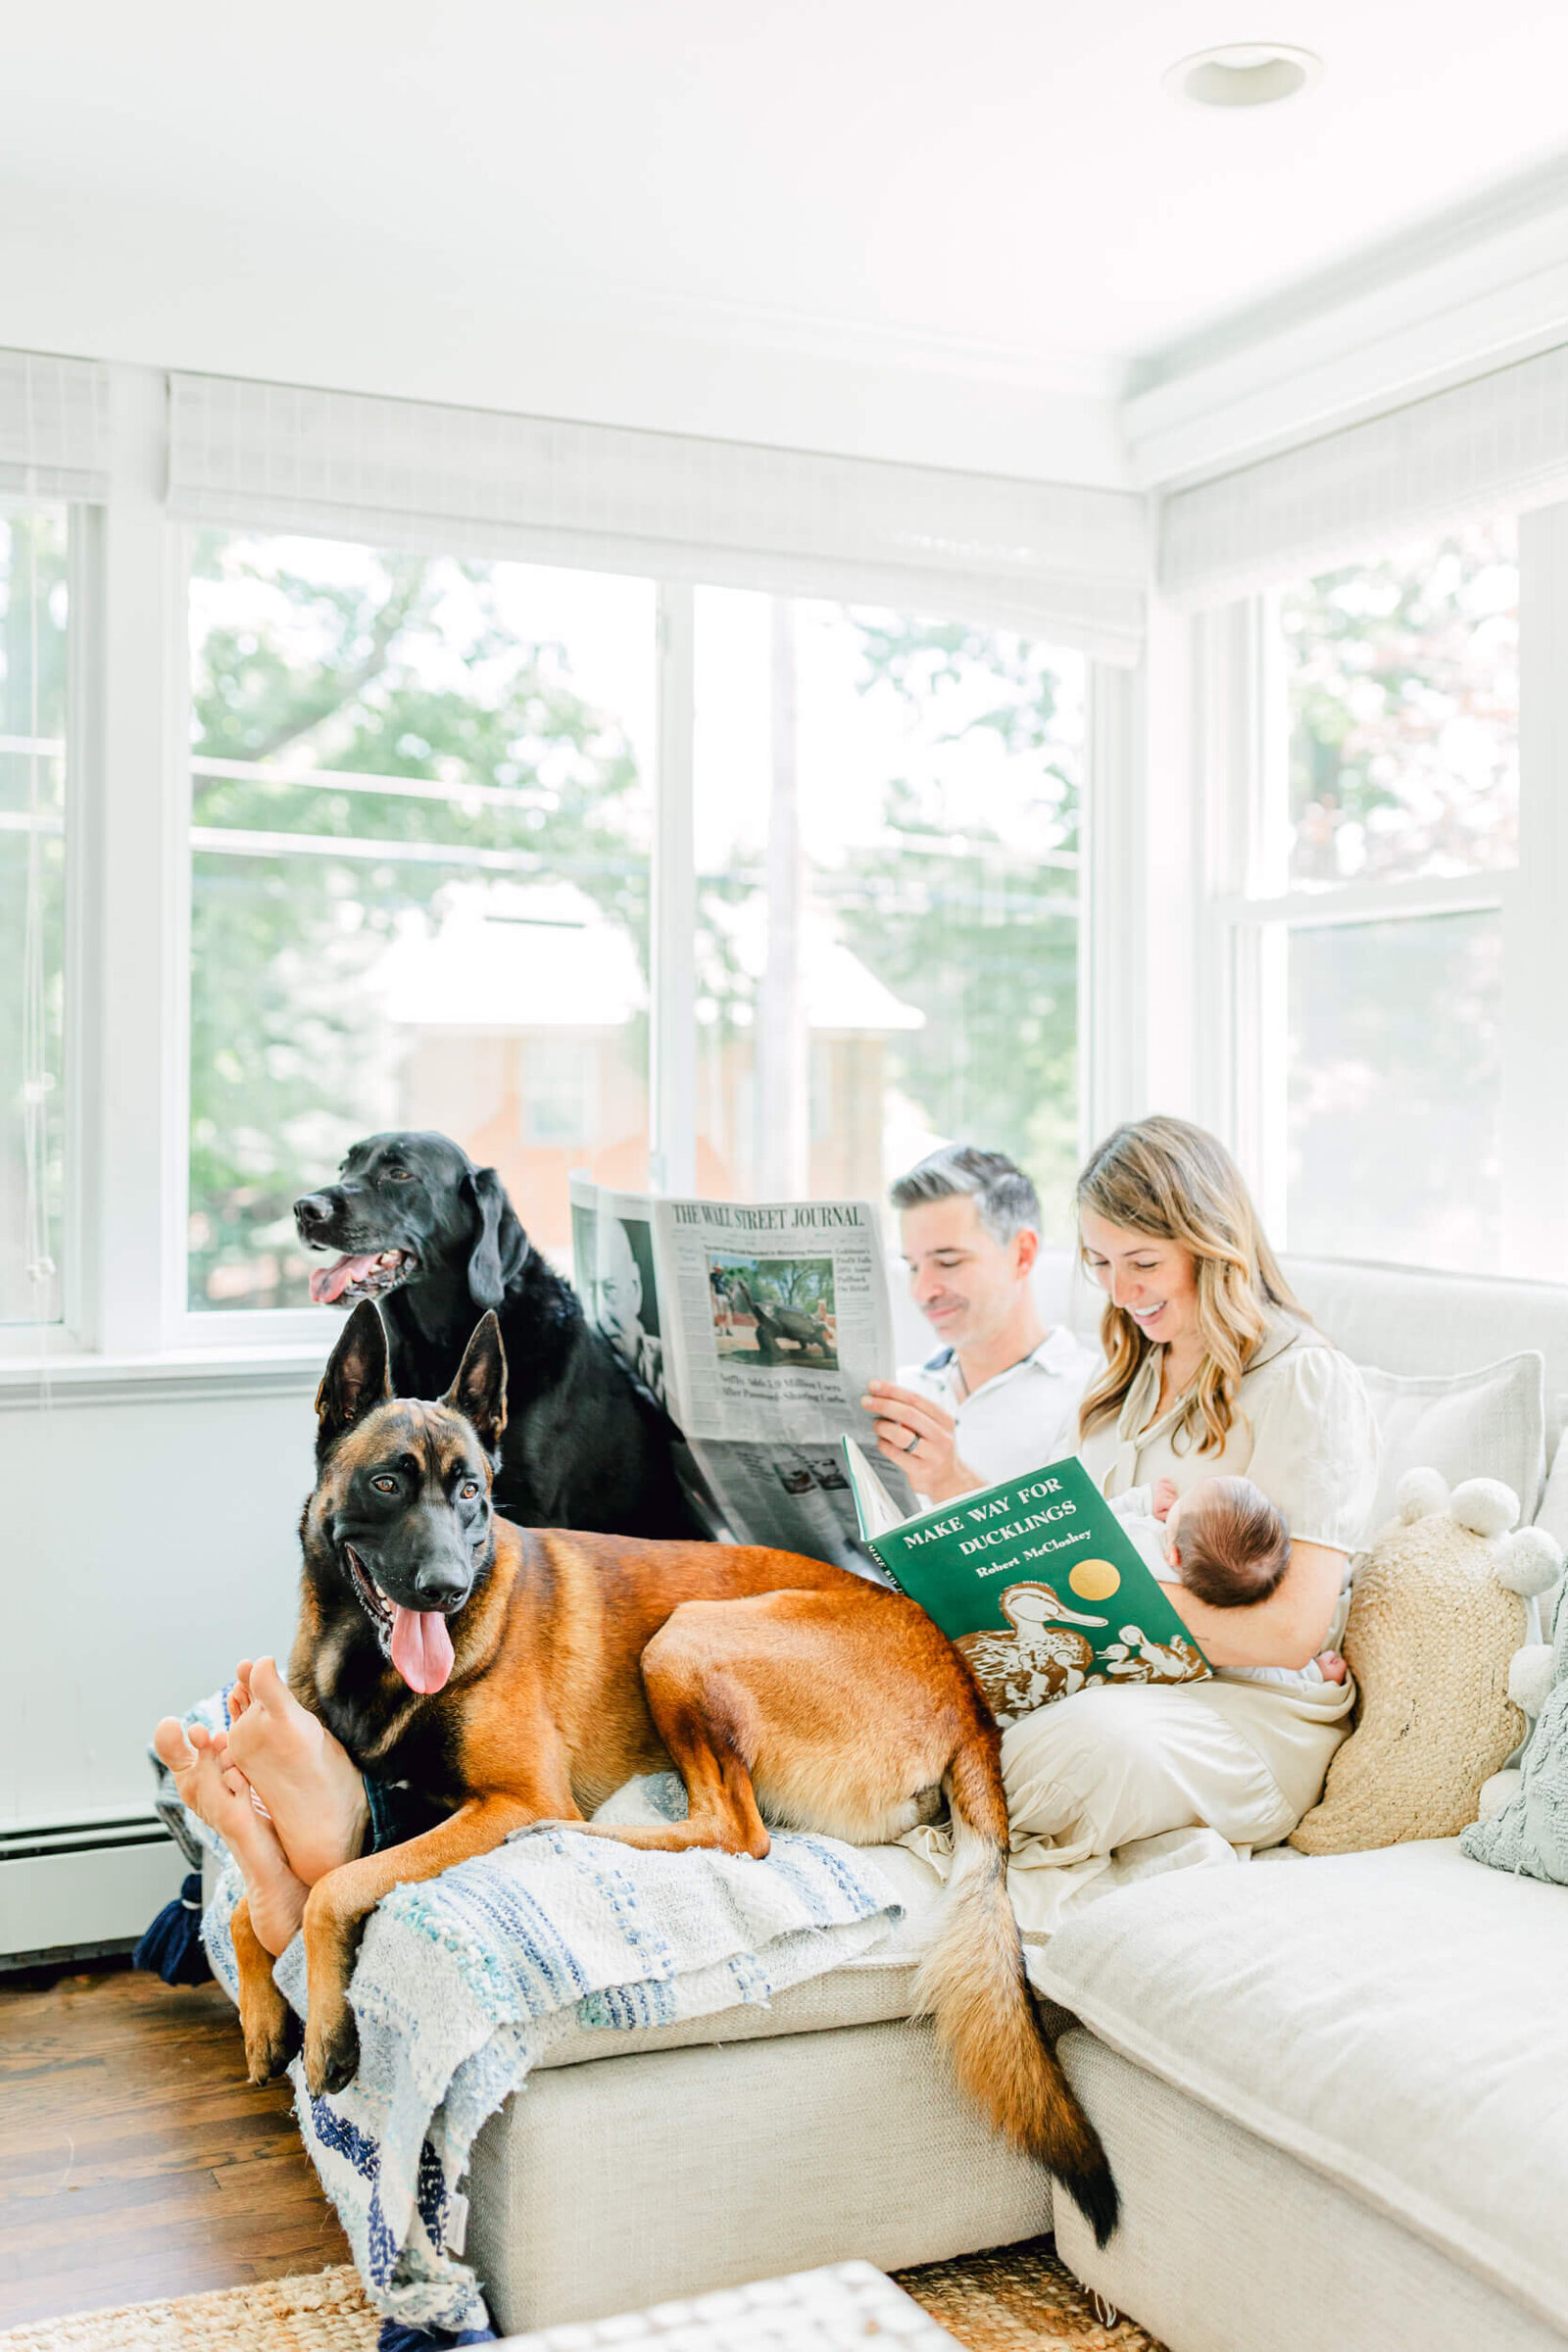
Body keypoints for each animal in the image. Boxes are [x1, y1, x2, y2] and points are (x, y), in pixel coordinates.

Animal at [232, 1307, 1114, 2238]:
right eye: (388, 1485)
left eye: (471, 1491)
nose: (446, 1588)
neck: (367, 1660)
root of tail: (965, 1694)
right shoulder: (382, 1805)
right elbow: (264, 1903)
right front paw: (263, 2013)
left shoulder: (506, 1796)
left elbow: (331, 1889)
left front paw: (327, 2032)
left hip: (685, 1637)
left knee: (735, 1831)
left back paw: (582, 1832)